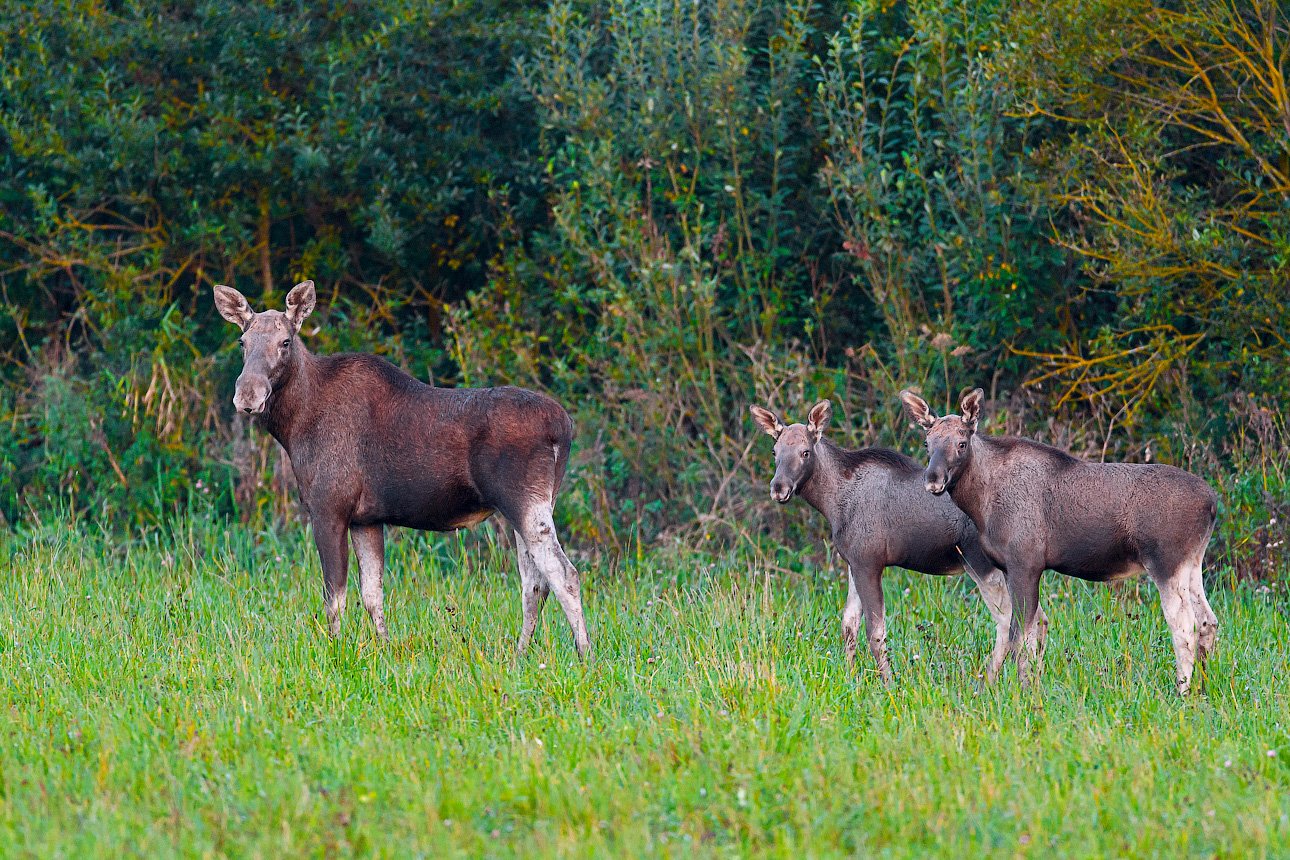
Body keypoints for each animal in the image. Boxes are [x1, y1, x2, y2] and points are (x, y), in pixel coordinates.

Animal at [215, 279, 590, 654]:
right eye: (242, 341)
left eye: (285, 341)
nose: (247, 396)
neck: (294, 426)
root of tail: (565, 426)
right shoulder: (366, 519)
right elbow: (372, 595)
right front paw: (383, 649)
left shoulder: (328, 508)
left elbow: (334, 597)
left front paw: (335, 651)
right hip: (530, 504)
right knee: (534, 583)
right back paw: (520, 654)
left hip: (522, 501)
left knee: (563, 574)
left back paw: (584, 654)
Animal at [753, 399, 1021, 680]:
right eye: (774, 451)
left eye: (805, 452)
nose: (779, 488)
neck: (832, 502)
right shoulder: (855, 563)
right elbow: (848, 625)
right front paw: (850, 676)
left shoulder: (869, 562)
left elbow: (875, 632)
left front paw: (888, 681)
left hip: (981, 563)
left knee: (1009, 621)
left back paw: (989, 679)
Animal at [903, 389, 1212, 691]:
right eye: (927, 444)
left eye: (962, 443)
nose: (933, 480)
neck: (981, 504)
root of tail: (1213, 503)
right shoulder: (1011, 567)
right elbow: (1032, 632)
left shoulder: (1025, 563)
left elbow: (1020, 634)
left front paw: (1021, 691)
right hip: (1192, 564)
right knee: (1208, 621)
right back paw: (1203, 687)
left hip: (1166, 562)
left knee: (1185, 627)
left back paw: (1182, 691)